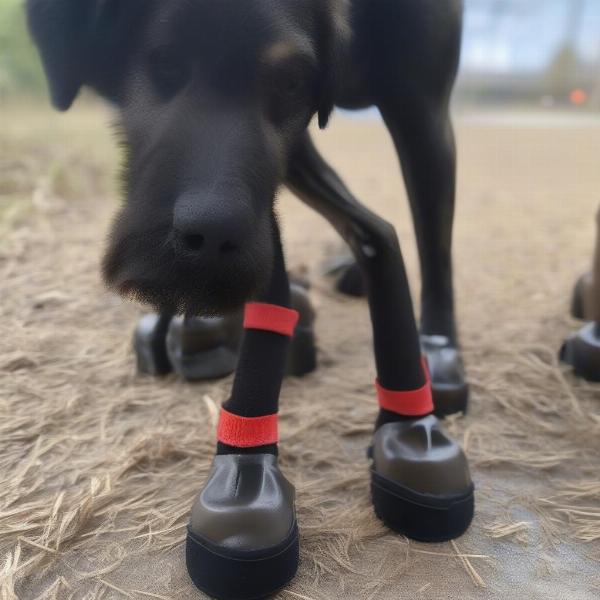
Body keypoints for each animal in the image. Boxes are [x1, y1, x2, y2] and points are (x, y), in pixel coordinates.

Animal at [29, 2, 474, 596]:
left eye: (289, 81)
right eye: (161, 62)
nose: (211, 238)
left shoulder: (415, 106)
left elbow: (402, 239)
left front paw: (414, 420)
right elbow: (290, 271)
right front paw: (244, 476)